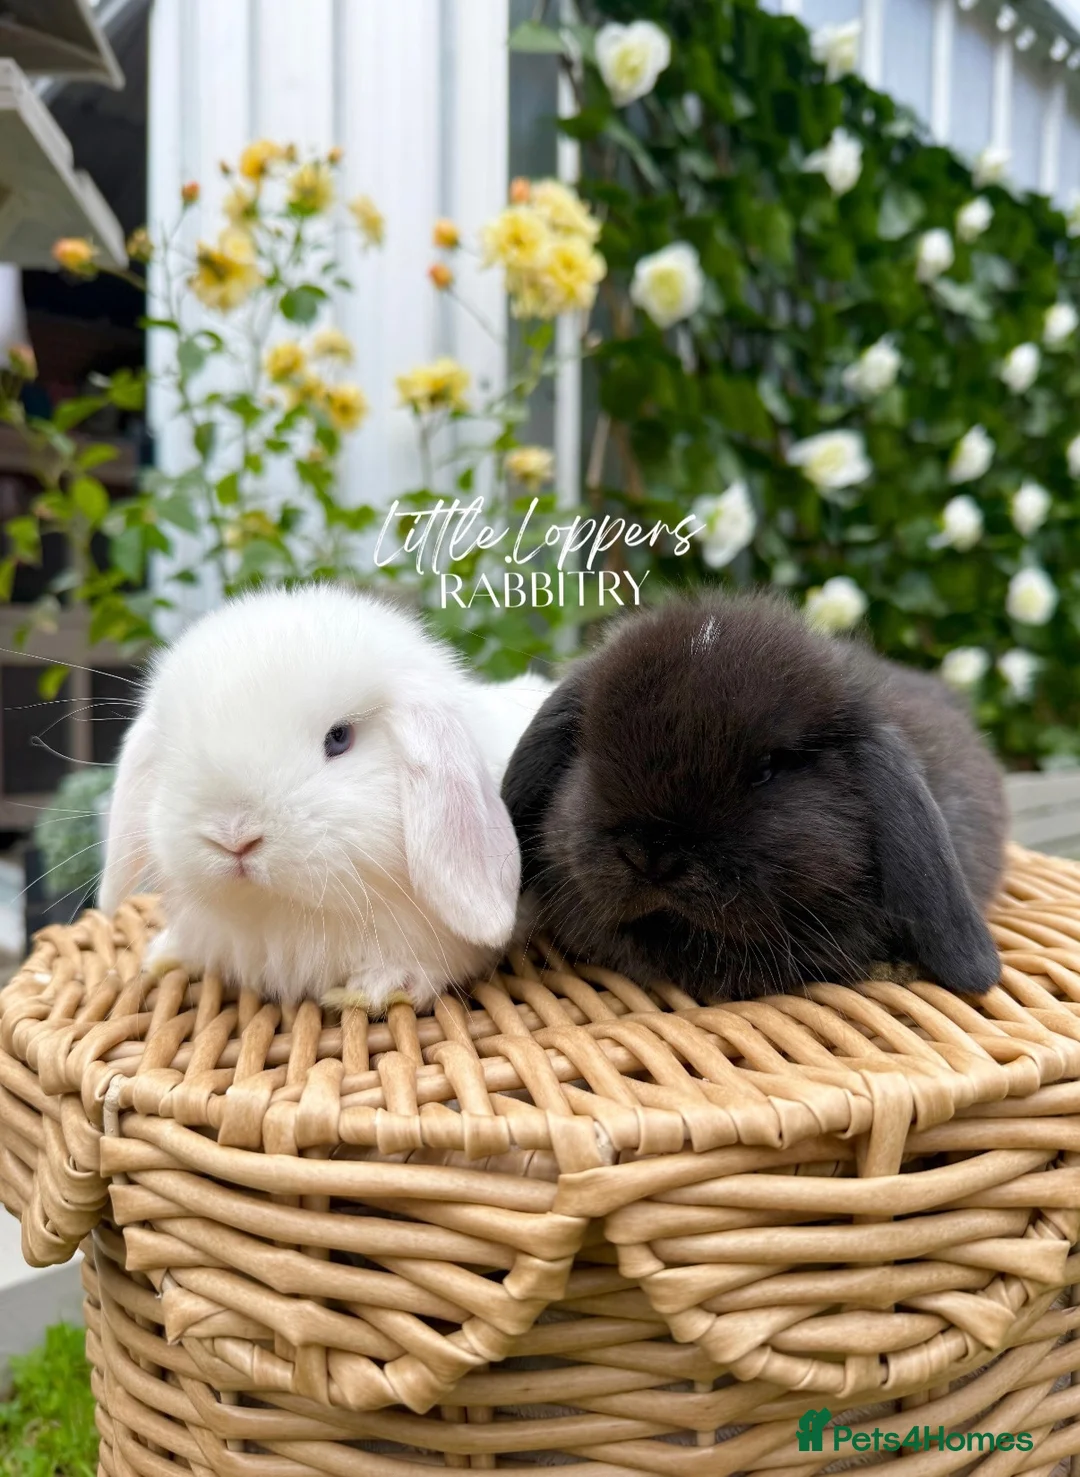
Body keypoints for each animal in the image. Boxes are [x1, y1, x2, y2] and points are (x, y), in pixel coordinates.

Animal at [99, 584, 553, 1016]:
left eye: (339, 738)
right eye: (173, 749)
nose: (233, 837)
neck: (280, 914)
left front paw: (379, 988)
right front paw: (164, 955)